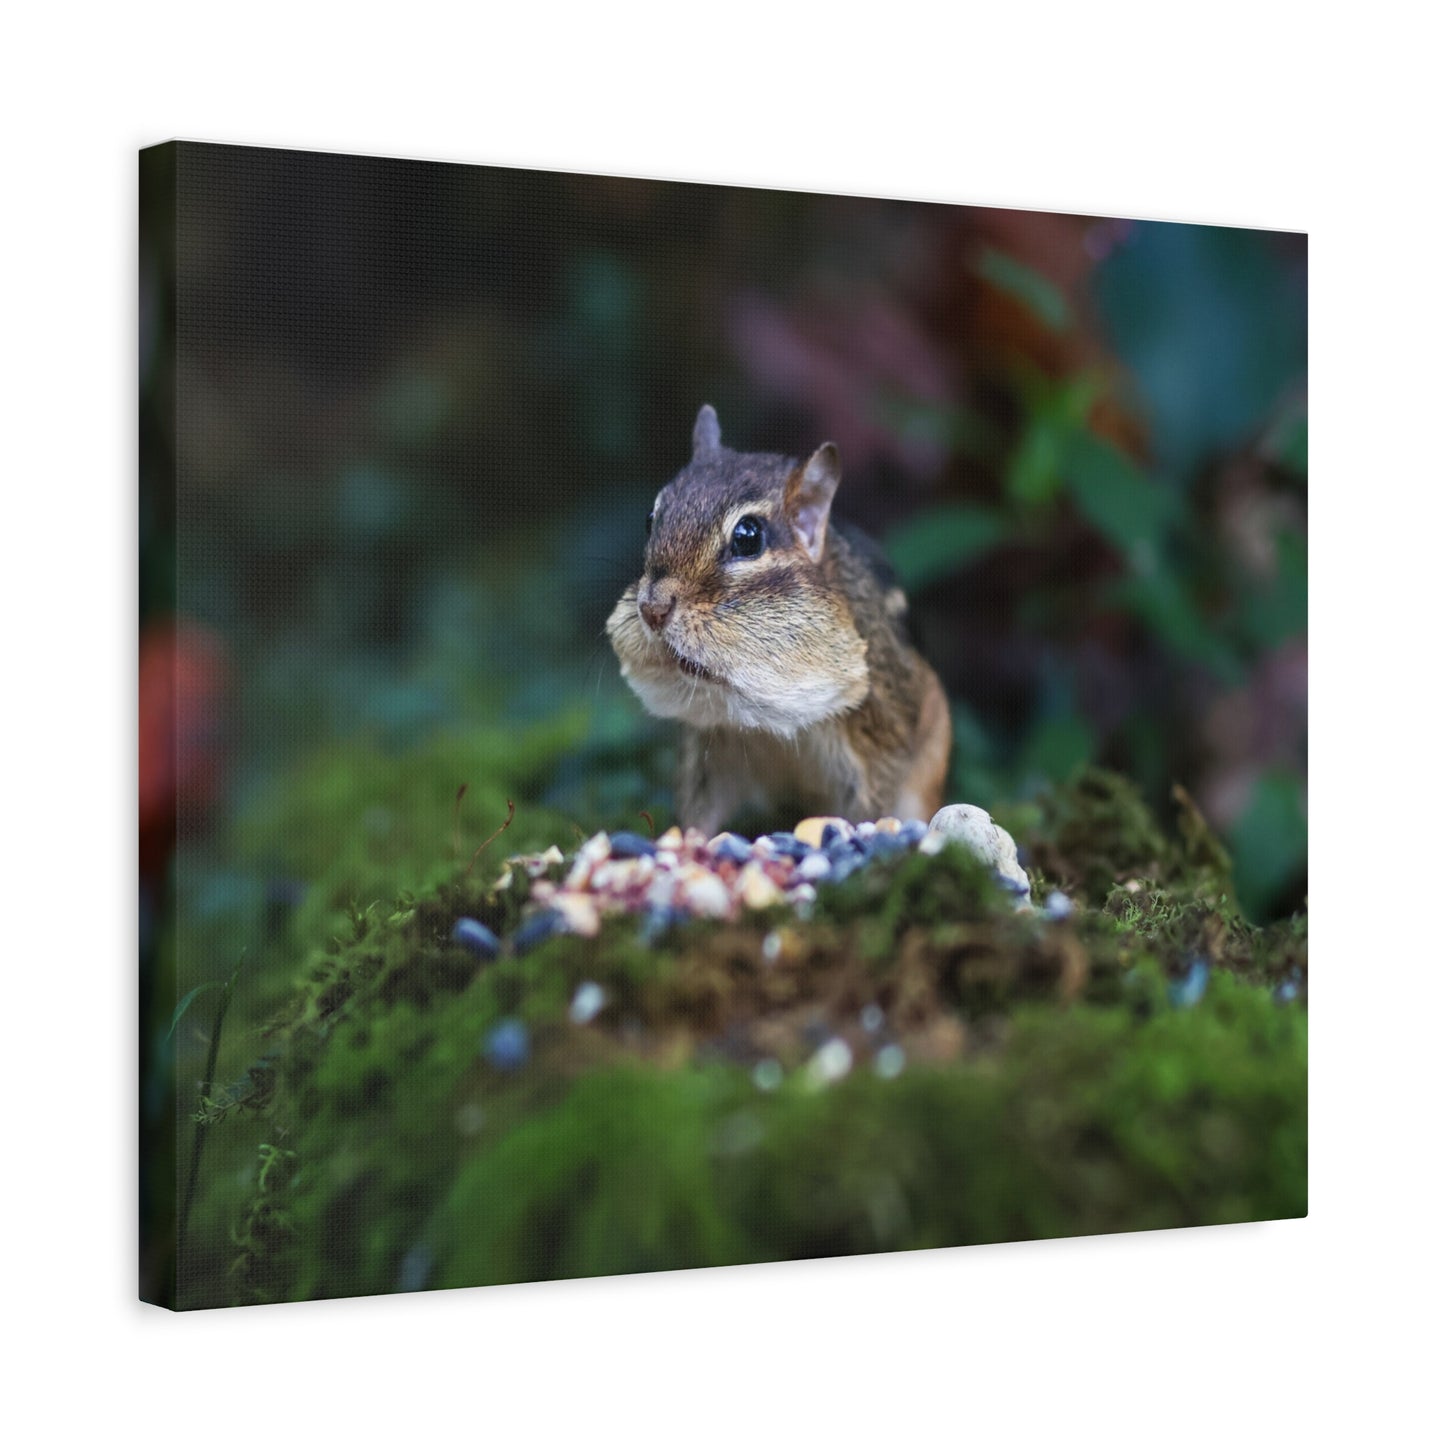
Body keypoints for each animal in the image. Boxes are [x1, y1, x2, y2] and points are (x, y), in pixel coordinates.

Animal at [606, 404, 952, 836]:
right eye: (650, 519)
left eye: (748, 537)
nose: (652, 609)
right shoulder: (709, 748)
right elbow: (698, 809)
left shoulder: (879, 740)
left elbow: (872, 805)